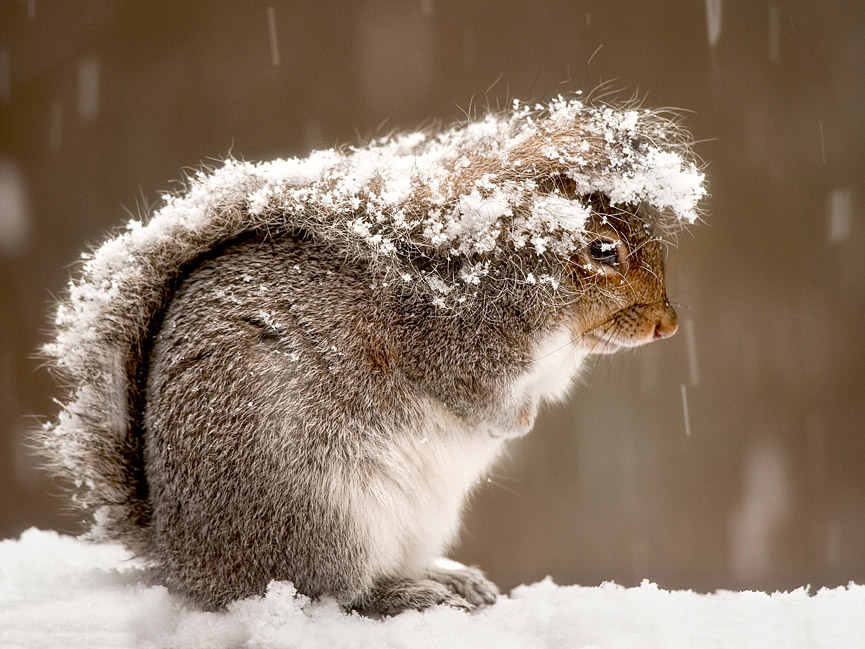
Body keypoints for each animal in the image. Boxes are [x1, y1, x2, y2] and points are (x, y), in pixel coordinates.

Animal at [36, 95, 705, 615]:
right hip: (321, 514)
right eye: (603, 250)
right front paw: (513, 423)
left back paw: (444, 577)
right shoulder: (448, 345)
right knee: (335, 593)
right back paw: (404, 595)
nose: (668, 325)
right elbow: (475, 397)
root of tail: (186, 562)